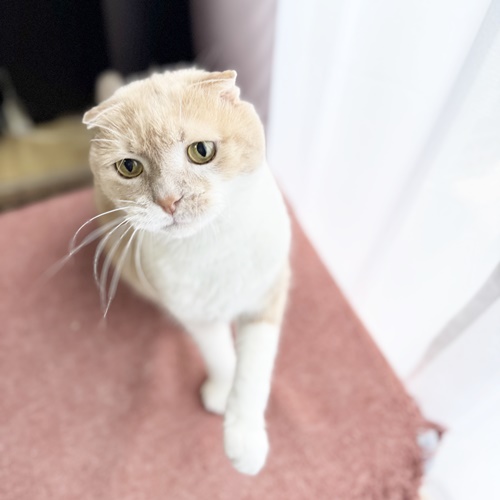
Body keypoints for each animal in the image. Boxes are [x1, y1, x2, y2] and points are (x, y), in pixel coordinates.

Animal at [82, 68, 291, 475]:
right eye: (129, 166)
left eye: (202, 151)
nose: (168, 200)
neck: (211, 248)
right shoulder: (195, 314)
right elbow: (221, 355)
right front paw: (222, 392)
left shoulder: (267, 294)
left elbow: (253, 369)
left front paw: (244, 439)